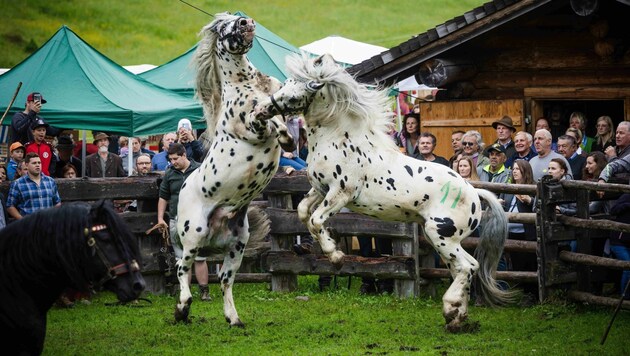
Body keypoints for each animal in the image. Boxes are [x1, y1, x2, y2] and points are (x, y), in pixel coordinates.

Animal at [174, 13, 296, 326]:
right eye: (222, 26)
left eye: (233, 15)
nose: (245, 21)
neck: (247, 84)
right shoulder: (251, 128)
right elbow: (264, 118)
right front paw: (279, 130)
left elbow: (280, 113)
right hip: (193, 235)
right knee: (182, 269)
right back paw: (182, 308)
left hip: (236, 246)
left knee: (224, 281)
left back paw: (233, 319)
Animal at [256, 54, 520, 332]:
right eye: (285, 83)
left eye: (293, 93)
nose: (262, 109)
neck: (339, 139)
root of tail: (474, 193)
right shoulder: (320, 189)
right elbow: (303, 212)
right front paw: (326, 245)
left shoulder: (341, 193)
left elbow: (317, 220)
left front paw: (336, 256)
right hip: (444, 240)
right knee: (462, 269)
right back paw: (457, 316)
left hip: (441, 234)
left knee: (468, 266)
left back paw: (451, 309)